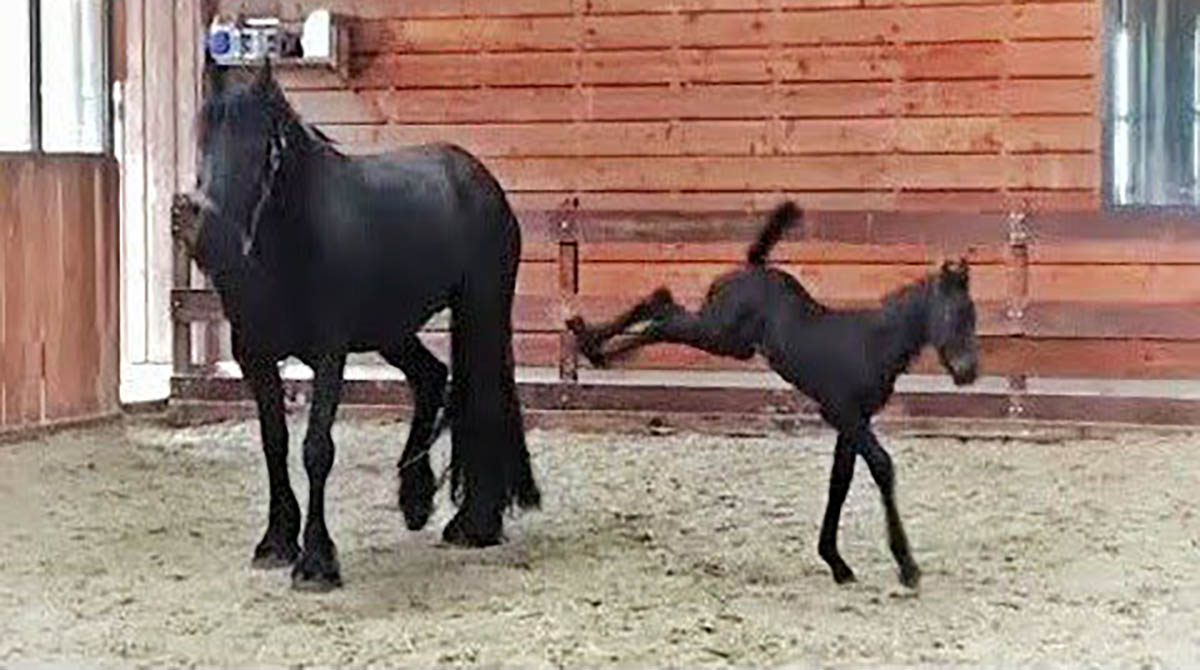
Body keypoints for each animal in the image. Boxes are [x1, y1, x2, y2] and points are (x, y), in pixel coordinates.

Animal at [188, 60, 540, 590]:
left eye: (264, 149)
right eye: (201, 137)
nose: (205, 235)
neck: (290, 244)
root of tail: (479, 179)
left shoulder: (329, 354)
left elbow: (316, 449)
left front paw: (317, 561)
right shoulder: (254, 356)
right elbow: (274, 444)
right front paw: (276, 541)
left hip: (480, 310)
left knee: (481, 399)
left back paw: (474, 524)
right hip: (392, 330)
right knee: (430, 378)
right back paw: (415, 499)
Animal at [566, 201, 979, 590]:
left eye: (974, 317)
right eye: (954, 315)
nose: (968, 373)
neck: (873, 344)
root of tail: (753, 267)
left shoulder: (852, 420)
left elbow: (839, 482)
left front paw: (836, 562)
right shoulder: (842, 411)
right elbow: (881, 467)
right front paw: (907, 567)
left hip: (729, 340)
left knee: (661, 307)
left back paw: (591, 345)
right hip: (721, 335)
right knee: (663, 315)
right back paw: (590, 344)